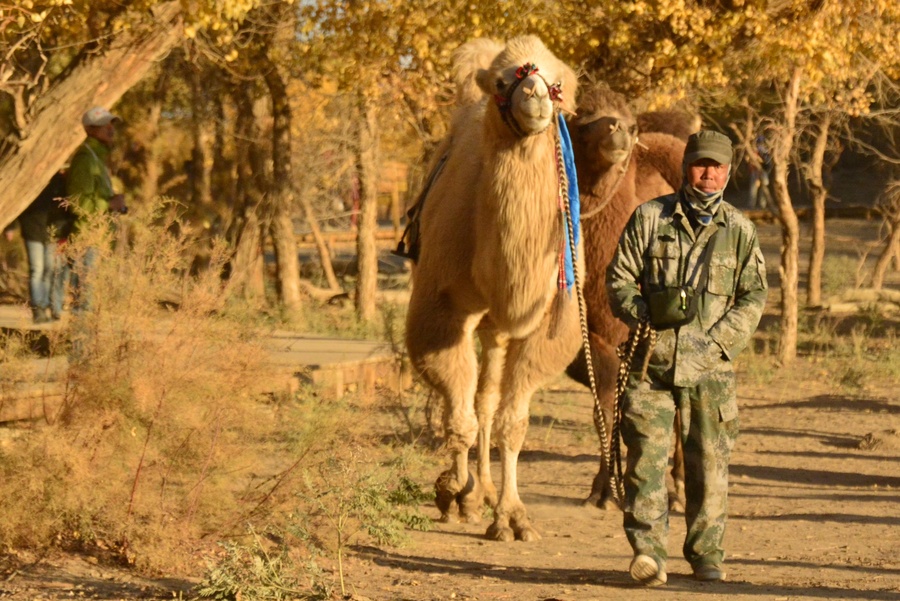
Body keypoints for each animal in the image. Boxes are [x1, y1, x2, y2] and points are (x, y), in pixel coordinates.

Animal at [408, 37, 584, 544]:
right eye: (504, 82)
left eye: (557, 83)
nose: (536, 96)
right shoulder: (442, 307)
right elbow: (458, 414)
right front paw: (452, 492)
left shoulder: (544, 321)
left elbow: (513, 423)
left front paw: (512, 517)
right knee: (473, 402)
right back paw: (470, 494)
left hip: (498, 328)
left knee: (488, 400)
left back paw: (485, 494)